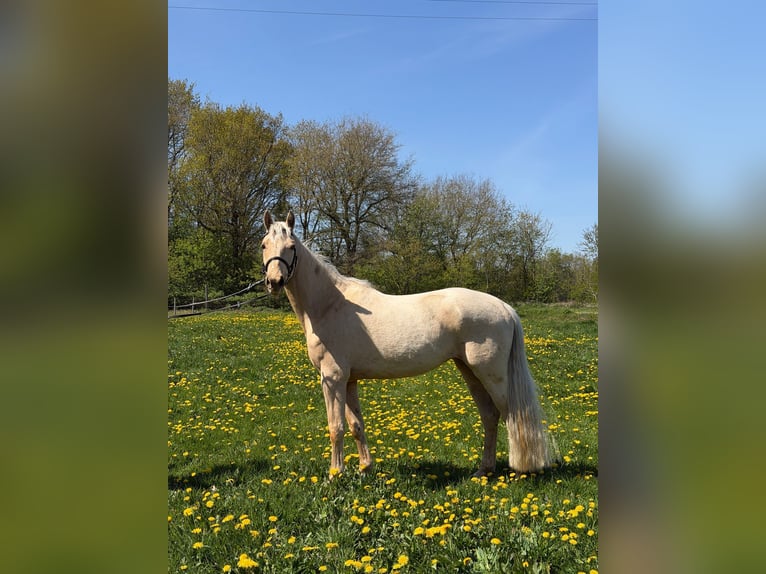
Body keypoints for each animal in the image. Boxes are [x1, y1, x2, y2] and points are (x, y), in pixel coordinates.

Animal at [261, 210, 550, 478]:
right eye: (264, 245)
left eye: (291, 246)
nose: (274, 282)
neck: (330, 305)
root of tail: (504, 307)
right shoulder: (349, 380)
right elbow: (356, 425)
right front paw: (364, 469)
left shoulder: (332, 378)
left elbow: (336, 427)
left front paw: (335, 475)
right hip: (469, 371)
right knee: (490, 416)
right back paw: (483, 471)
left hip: (492, 374)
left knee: (512, 416)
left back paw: (518, 471)